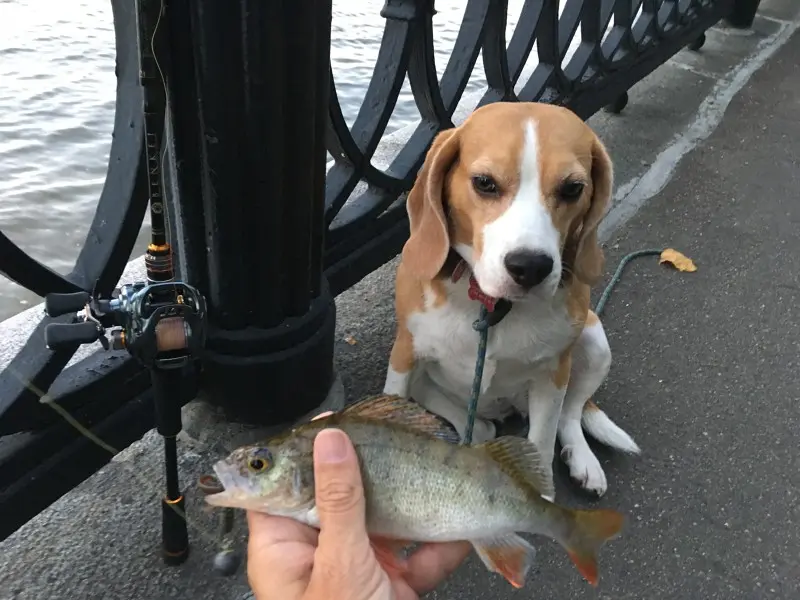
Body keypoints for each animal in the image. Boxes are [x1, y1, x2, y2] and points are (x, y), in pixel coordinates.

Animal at [384, 102, 640, 496]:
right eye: (484, 183)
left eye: (573, 188)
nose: (530, 266)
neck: (490, 305)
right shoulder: (404, 354)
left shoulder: (552, 374)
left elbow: (543, 441)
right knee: (475, 422)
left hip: (594, 341)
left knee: (571, 413)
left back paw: (582, 459)